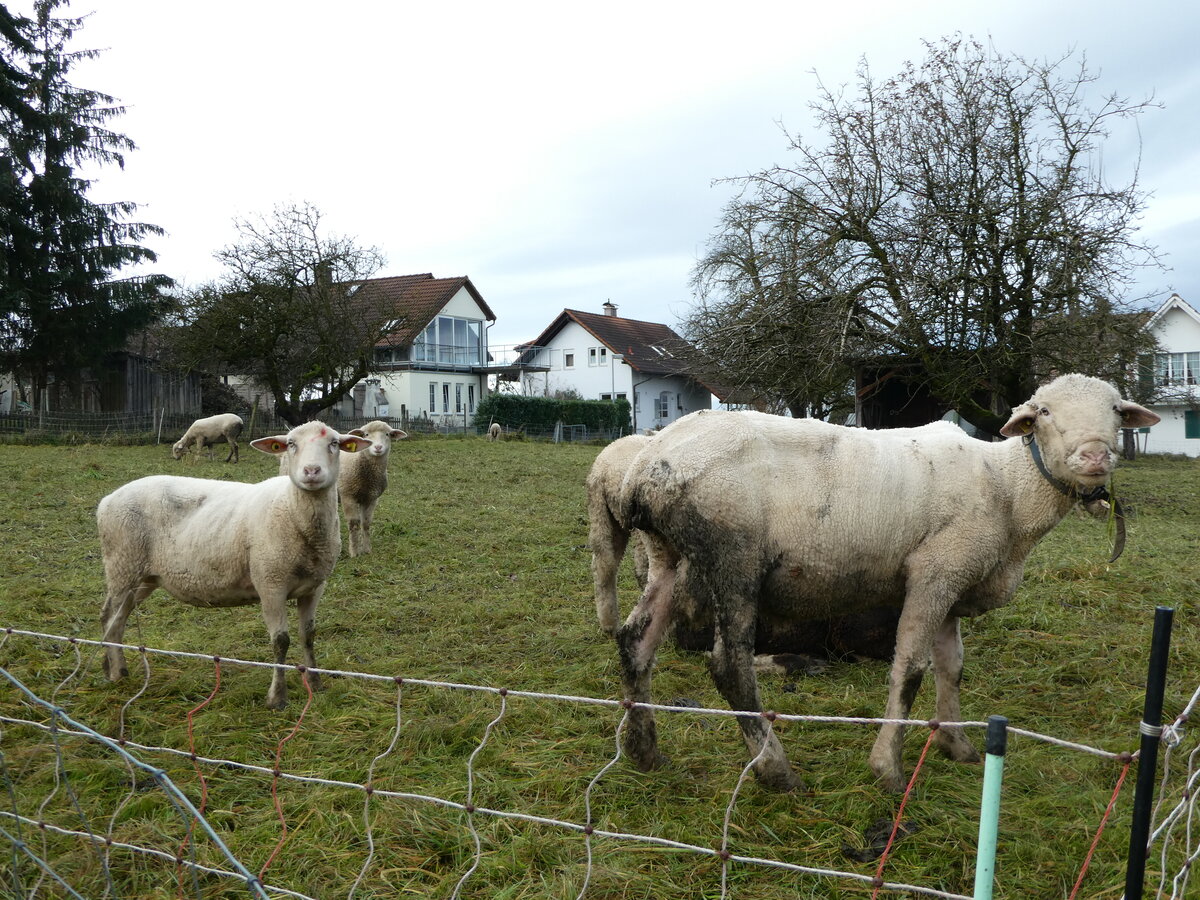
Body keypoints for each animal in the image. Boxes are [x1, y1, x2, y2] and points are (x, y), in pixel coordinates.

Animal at [98, 420, 368, 708]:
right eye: (291, 444)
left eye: (334, 443)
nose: (312, 471)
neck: (294, 512)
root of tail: (106, 500)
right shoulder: (270, 584)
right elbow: (281, 642)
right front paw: (277, 697)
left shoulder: (315, 586)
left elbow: (308, 635)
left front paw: (315, 684)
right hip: (122, 565)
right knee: (112, 618)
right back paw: (116, 671)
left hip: (143, 576)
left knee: (113, 616)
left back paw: (113, 668)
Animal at [337, 420, 407, 556]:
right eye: (366, 434)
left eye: (387, 434)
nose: (378, 447)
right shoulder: (347, 495)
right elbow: (354, 524)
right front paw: (354, 552)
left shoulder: (371, 498)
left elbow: (366, 523)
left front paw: (367, 549)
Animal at [613, 374, 1159, 792]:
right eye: (1044, 411)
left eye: (1115, 410)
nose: (1095, 457)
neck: (1009, 488)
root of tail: (647, 464)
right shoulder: (935, 571)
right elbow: (911, 669)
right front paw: (888, 768)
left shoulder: (953, 585)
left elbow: (951, 668)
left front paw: (957, 744)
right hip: (733, 560)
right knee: (729, 667)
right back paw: (775, 769)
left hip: (669, 556)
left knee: (636, 641)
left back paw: (643, 751)